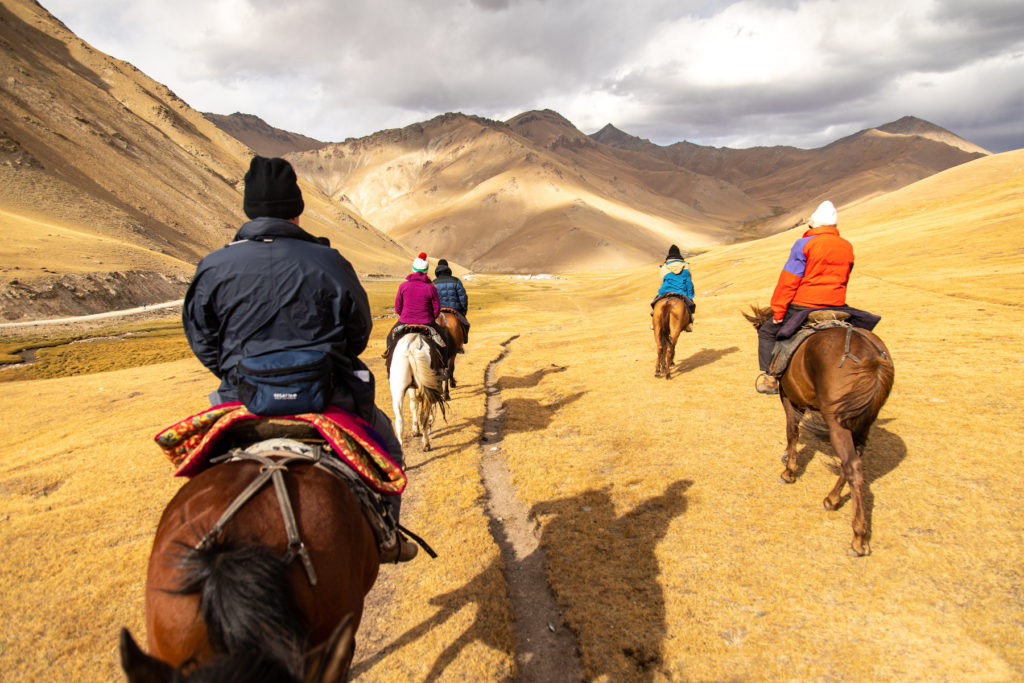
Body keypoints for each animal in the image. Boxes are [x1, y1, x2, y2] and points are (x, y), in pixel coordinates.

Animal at [745, 305, 897, 557]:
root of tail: (872, 358)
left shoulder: (788, 397)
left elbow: (792, 431)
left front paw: (789, 471)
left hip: (837, 420)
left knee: (852, 465)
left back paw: (858, 537)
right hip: (863, 421)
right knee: (853, 461)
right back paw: (832, 499)